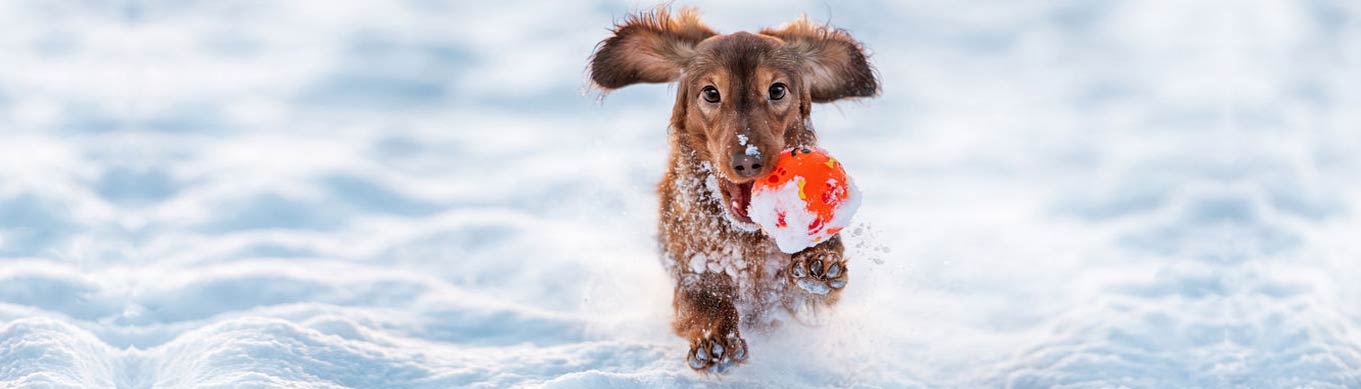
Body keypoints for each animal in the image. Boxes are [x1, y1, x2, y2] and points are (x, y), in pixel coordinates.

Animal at [590, 6, 876, 372]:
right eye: (711, 93)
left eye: (777, 90)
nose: (748, 161)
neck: (745, 239)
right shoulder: (692, 268)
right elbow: (703, 301)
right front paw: (715, 340)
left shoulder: (799, 299)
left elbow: (819, 273)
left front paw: (819, 261)